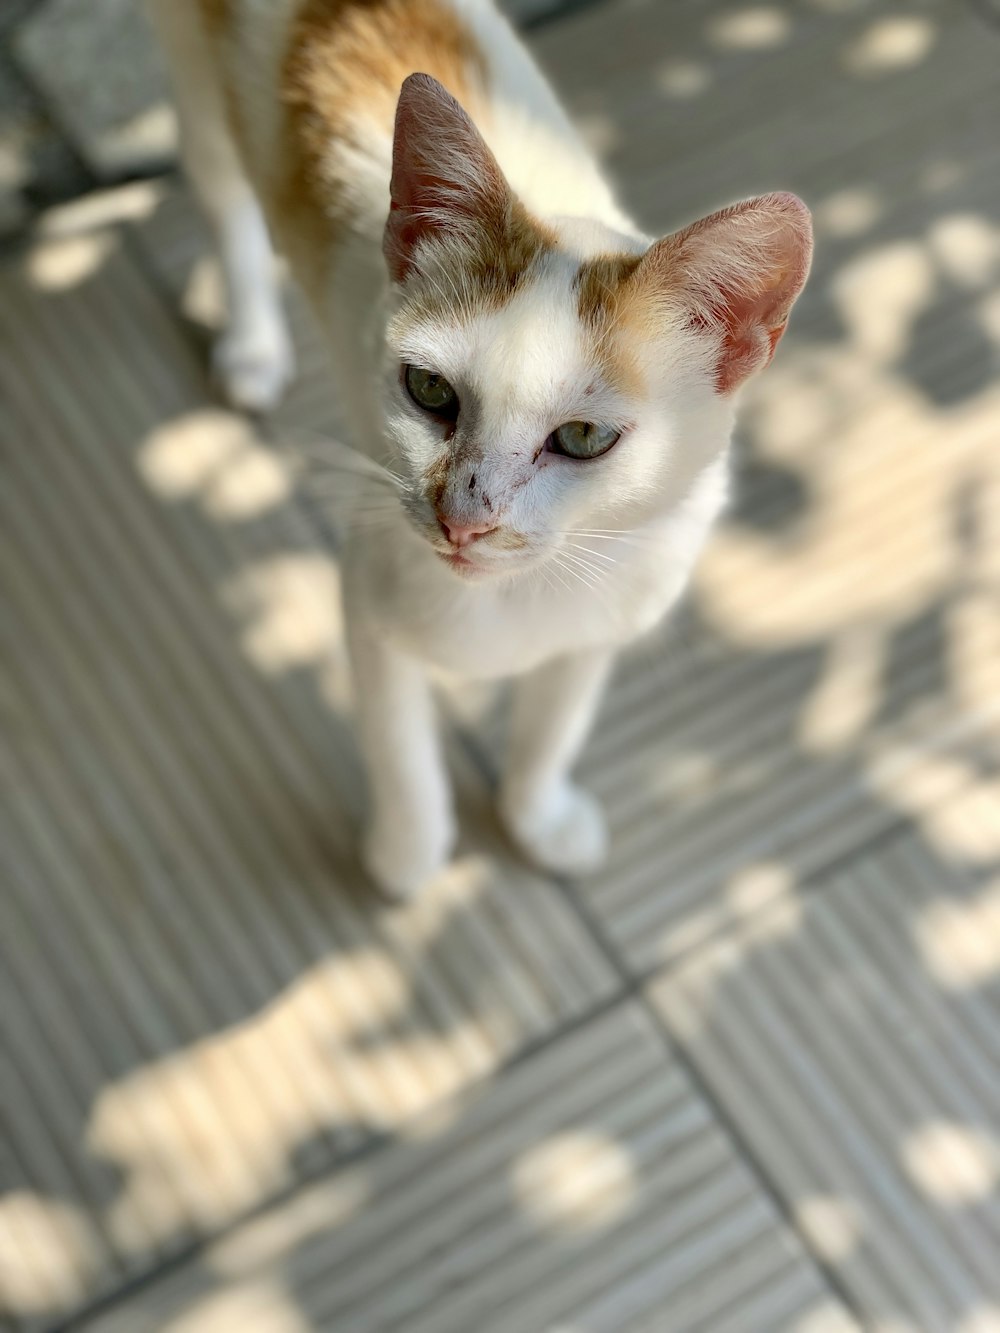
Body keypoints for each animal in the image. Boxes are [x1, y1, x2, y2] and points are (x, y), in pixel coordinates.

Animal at [150, 0, 816, 901]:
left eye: (583, 437)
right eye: (430, 391)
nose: (463, 519)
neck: (516, 600)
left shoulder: (608, 609)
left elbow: (554, 725)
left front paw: (537, 817)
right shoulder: (369, 597)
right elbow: (400, 750)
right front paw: (406, 858)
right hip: (195, 87)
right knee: (223, 198)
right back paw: (252, 342)